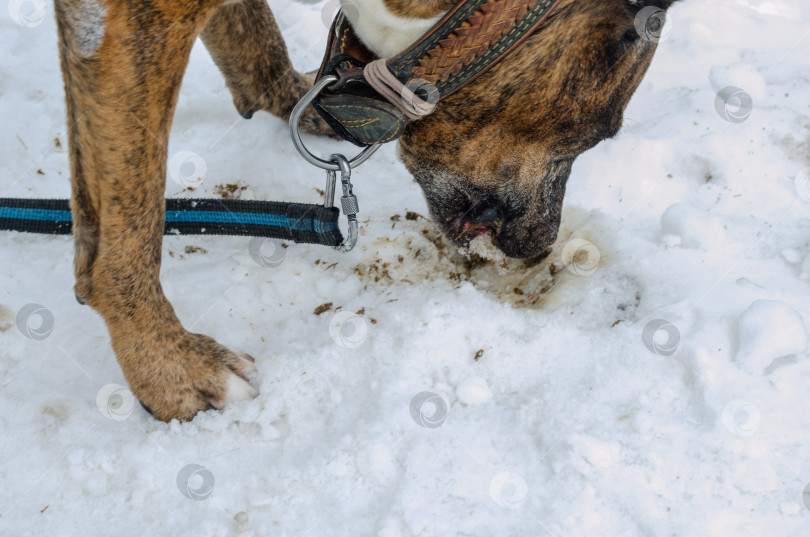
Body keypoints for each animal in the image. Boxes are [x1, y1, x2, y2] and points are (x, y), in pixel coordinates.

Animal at [52, 0, 676, 418]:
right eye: (597, 132)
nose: (542, 241)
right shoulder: (125, 24)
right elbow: (130, 224)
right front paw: (169, 367)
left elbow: (253, 36)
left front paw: (298, 99)